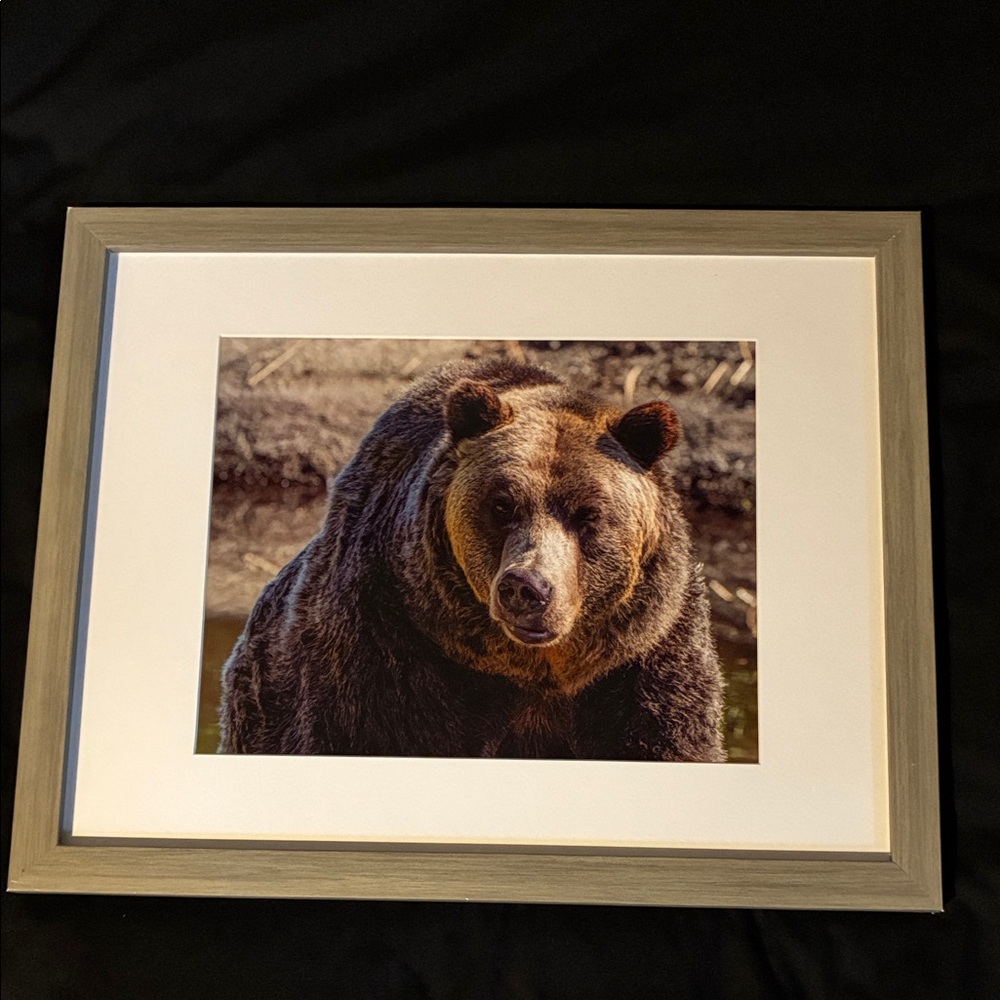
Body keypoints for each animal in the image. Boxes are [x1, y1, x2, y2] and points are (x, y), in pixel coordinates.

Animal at [219, 357, 726, 762]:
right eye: (502, 505)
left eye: (589, 514)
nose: (527, 587)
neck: (533, 671)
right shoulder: (381, 645)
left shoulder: (644, 660)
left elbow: (670, 735)